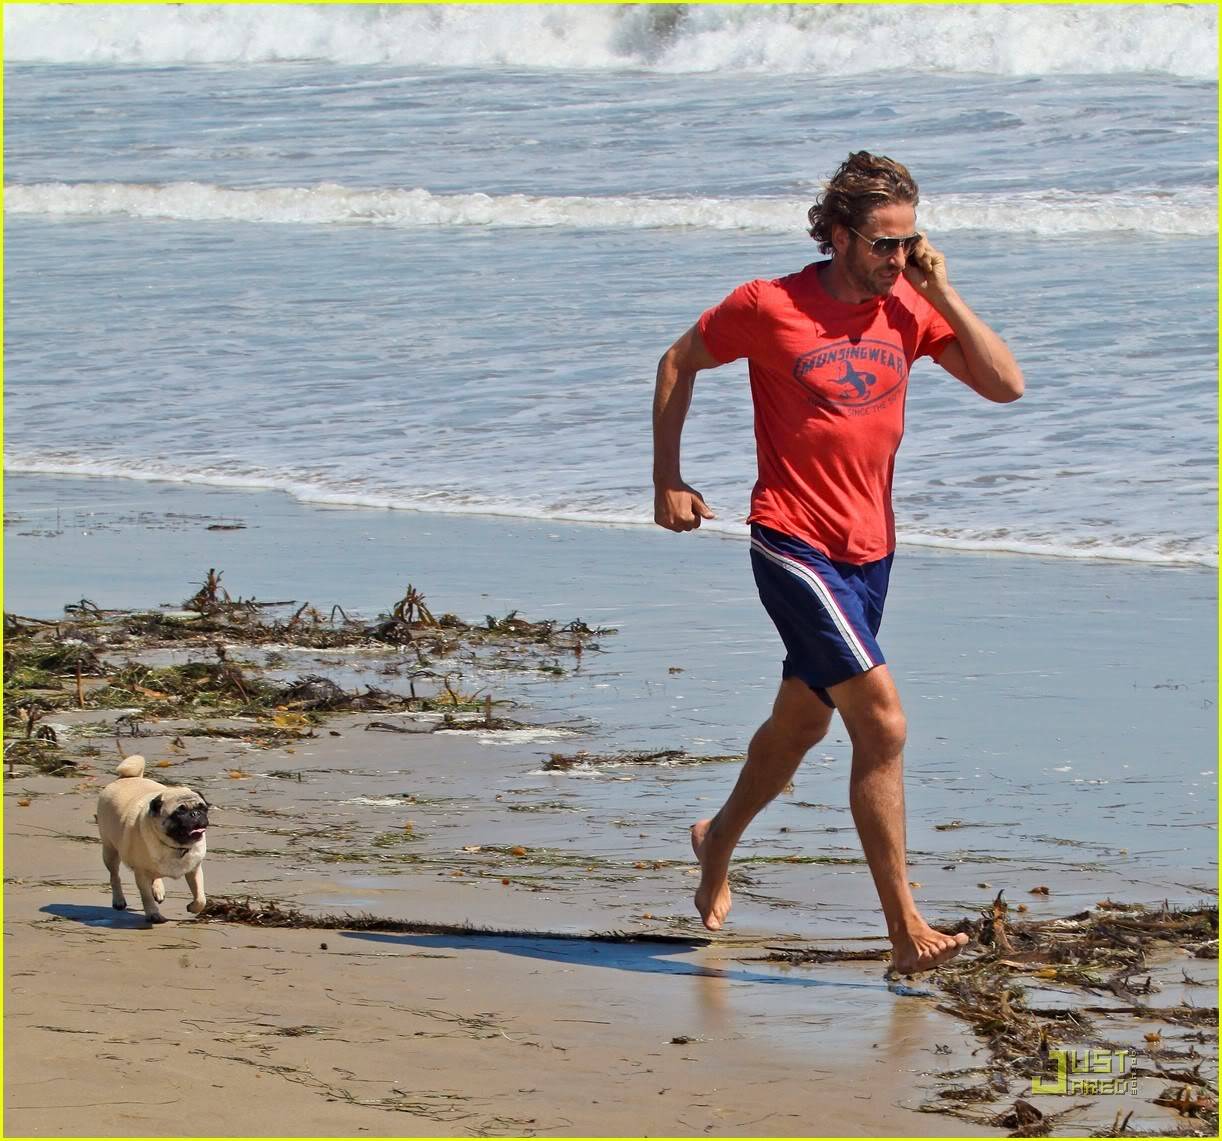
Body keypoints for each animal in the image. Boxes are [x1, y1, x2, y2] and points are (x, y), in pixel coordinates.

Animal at [95, 752, 210, 923]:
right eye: (179, 812)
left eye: (203, 808)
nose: (195, 814)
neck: (176, 847)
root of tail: (124, 778)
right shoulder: (141, 873)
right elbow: (146, 896)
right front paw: (153, 914)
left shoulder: (194, 869)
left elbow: (201, 898)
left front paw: (193, 907)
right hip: (110, 851)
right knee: (114, 876)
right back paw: (119, 900)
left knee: (155, 877)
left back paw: (158, 889)